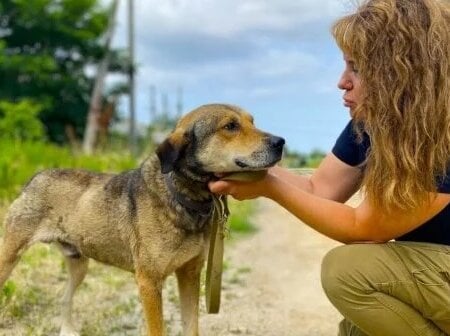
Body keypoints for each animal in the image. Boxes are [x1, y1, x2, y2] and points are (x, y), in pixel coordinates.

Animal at [0, 103, 284, 334]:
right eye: (230, 126)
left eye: (252, 121)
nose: (281, 142)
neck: (182, 195)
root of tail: (36, 177)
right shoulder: (149, 281)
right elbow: (157, 329)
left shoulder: (190, 273)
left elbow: (191, 325)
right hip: (9, 255)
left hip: (78, 263)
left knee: (65, 297)